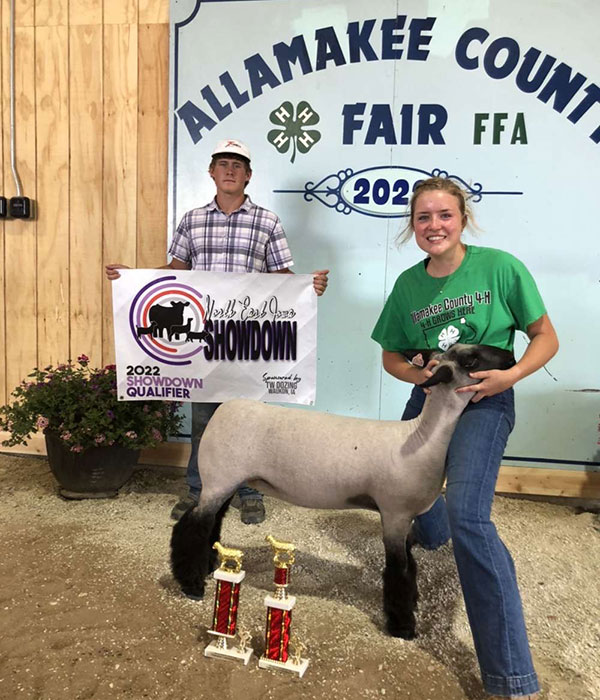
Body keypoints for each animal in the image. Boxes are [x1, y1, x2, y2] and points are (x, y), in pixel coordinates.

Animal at [170, 344, 516, 640]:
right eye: (470, 360)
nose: (511, 357)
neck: (423, 437)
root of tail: (223, 409)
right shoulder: (394, 512)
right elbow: (399, 570)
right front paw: (402, 625)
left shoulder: (405, 519)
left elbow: (410, 564)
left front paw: (411, 604)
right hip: (218, 479)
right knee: (192, 527)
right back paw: (191, 584)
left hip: (224, 481)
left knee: (210, 524)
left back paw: (209, 567)